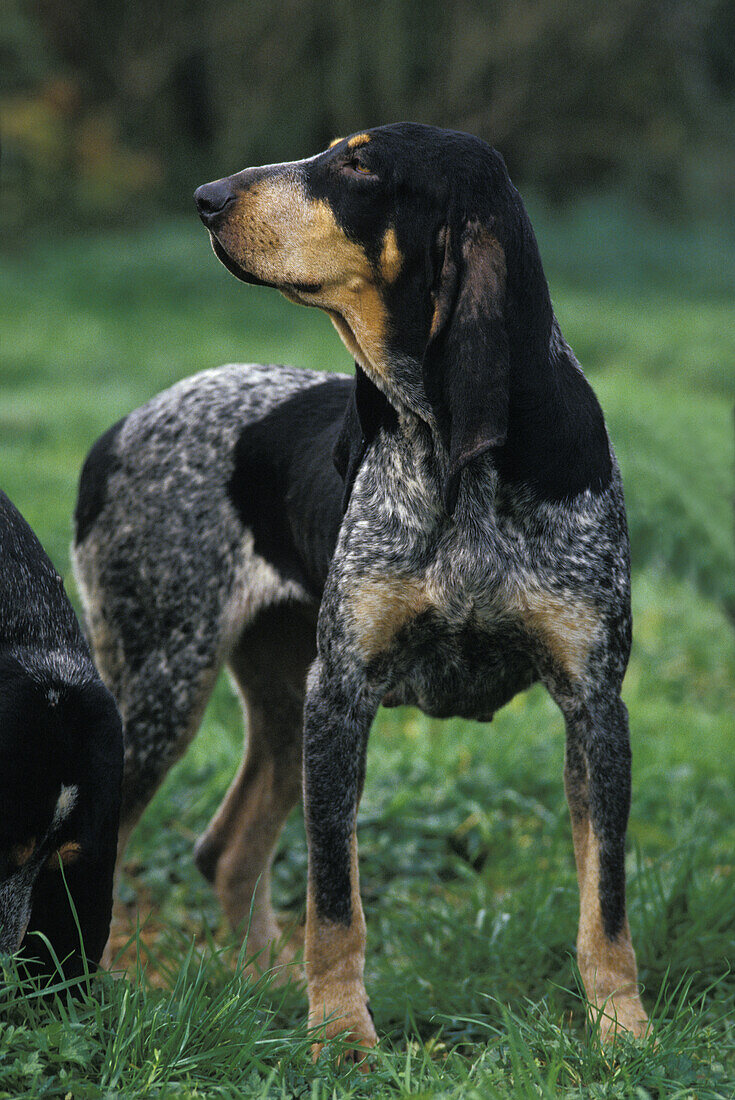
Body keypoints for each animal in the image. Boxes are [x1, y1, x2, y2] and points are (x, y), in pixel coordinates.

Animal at [73, 122, 646, 1056]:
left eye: (359, 164)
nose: (204, 197)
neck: (456, 459)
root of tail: (117, 430)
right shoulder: (342, 696)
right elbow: (335, 901)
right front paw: (342, 1037)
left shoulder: (594, 704)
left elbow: (606, 902)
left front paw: (621, 1029)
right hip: (167, 688)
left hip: (275, 702)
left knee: (226, 851)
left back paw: (263, 985)